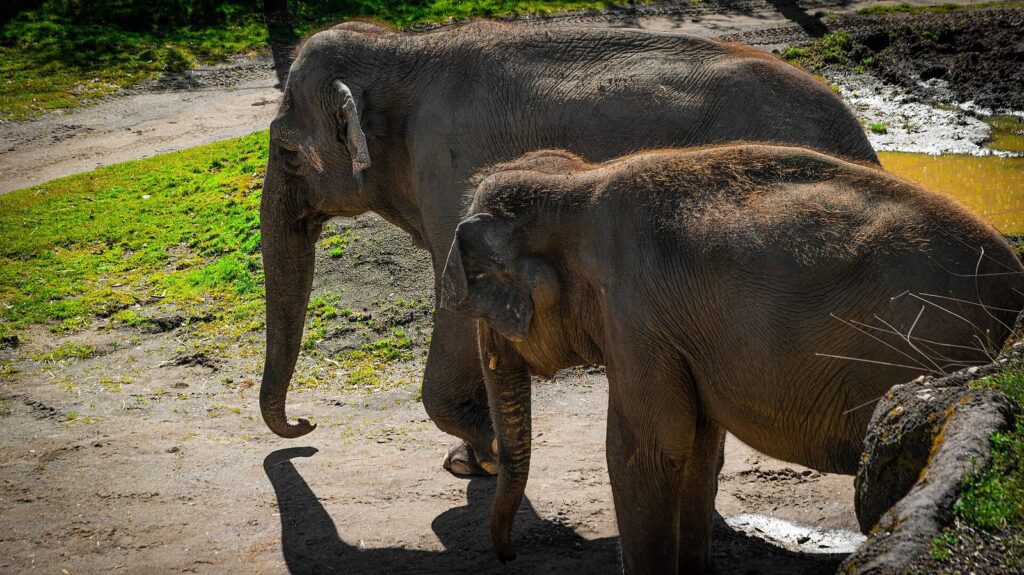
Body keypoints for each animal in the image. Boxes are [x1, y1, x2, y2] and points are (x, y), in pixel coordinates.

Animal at [258, 19, 880, 476]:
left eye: (286, 151)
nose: (306, 430)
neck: (403, 49)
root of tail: (859, 139)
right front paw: (472, 459)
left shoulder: (449, 171)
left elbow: (455, 306)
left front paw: (483, 456)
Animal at [439, 145, 1024, 574]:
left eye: (486, 315)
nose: (508, 556)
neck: (579, 185)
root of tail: (1013, 280)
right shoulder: (678, 333)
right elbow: (698, 445)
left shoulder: (636, 317)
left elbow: (646, 450)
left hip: (931, 339)